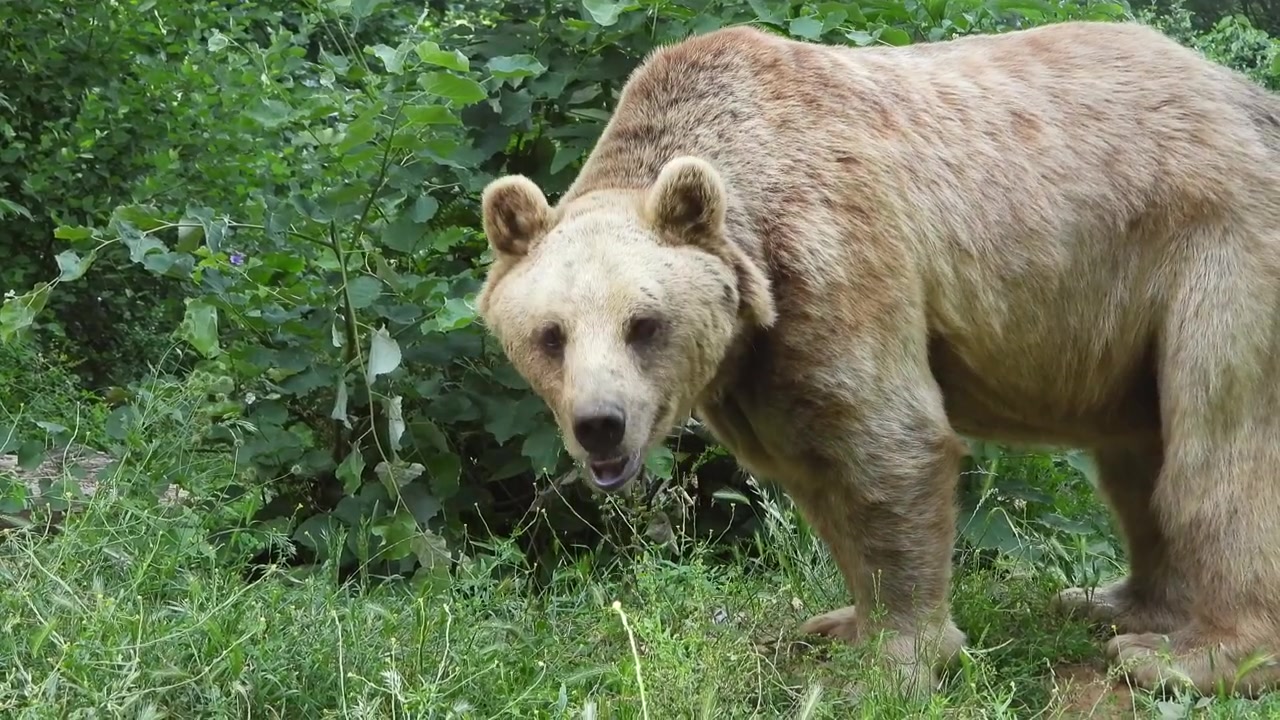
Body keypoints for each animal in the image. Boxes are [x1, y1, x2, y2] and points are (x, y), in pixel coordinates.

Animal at [474, 18, 1280, 699]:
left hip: (1214, 250)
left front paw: (896, 662)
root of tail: (1252, 99)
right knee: (1137, 459)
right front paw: (841, 627)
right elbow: (818, 472)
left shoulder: (835, 256)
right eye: (550, 334)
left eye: (644, 324)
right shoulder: (766, 362)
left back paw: (1188, 658)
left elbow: (887, 445)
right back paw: (1115, 603)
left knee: (1219, 451)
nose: (600, 425)